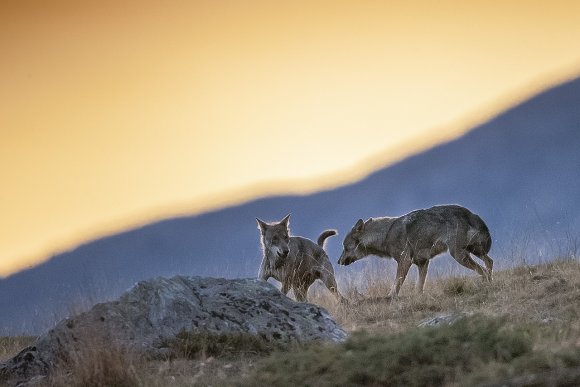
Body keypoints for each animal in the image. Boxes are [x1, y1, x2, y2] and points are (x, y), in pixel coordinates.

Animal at [336, 206, 494, 300]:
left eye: (345, 248)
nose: (338, 261)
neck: (386, 234)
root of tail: (470, 214)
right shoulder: (422, 262)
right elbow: (419, 286)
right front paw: (418, 297)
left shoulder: (405, 260)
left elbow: (397, 282)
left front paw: (390, 297)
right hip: (473, 251)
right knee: (489, 263)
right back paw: (490, 282)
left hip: (459, 255)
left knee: (482, 270)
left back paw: (485, 286)